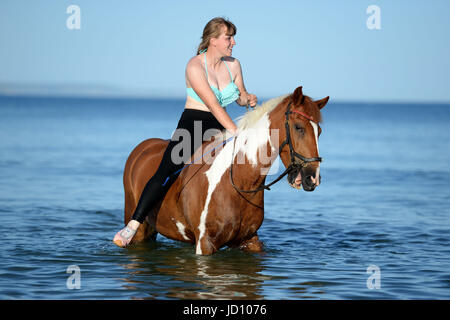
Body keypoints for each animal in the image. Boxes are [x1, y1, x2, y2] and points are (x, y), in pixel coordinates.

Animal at [121, 85, 328, 255]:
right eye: (298, 127)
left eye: (319, 132)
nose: (312, 178)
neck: (239, 181)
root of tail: (143, 147)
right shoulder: (205, 243)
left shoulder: (250, 239)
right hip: (139, 226)